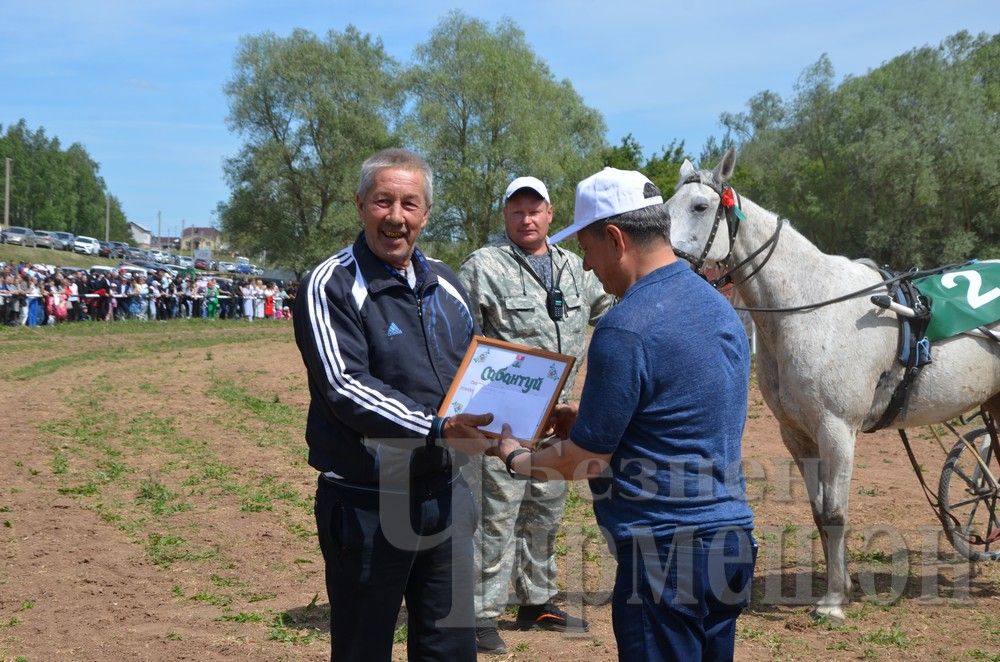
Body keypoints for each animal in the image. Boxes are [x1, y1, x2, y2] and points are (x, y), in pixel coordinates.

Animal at [664, 150, 1000, 624]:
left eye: (699, 206)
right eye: (666, 206)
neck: (810, 305)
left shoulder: (837, 430)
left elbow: (837, 513)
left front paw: (835, 600)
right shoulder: (798, 435)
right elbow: (820, 512)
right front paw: (832, 587)